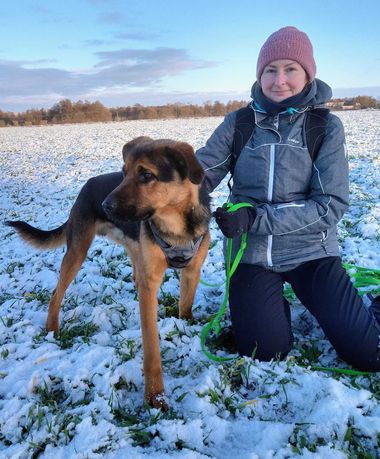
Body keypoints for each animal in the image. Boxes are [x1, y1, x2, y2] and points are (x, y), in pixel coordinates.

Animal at [6, 137, 211, 410]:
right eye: (124, 173)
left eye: (147, 175)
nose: (105, 205)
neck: (175, 226)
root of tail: (87, 184)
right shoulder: (151, 284)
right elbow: (151, 349)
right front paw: (155, 397)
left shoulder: (192, 271)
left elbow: (185, 306)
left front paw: (186, 326)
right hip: (77, 250)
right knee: (56, 291)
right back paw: (52, 330)